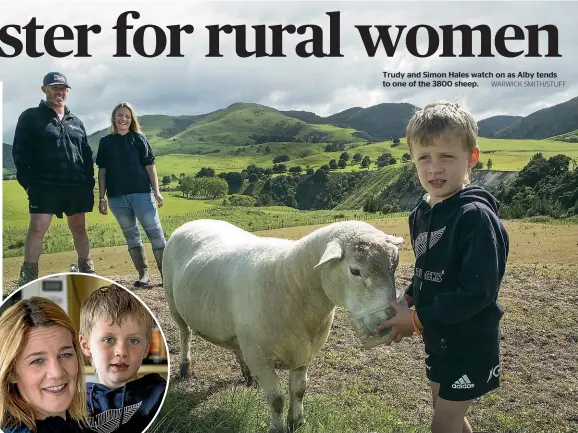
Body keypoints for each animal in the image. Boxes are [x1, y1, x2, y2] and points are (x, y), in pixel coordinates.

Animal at [164, 219, 402, 432]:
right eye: (355, 271)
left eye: (394, 268)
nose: (389, 320)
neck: (291, 281)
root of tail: (192, 222)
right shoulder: (260, 358)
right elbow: (277, 399)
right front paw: (277, 427)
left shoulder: (304, 354)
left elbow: (299, 391)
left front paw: (297, 421)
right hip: (173, 302)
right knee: (185, 334)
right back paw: (185, 368)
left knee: (235, 345)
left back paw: (246, 375)